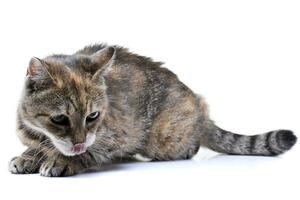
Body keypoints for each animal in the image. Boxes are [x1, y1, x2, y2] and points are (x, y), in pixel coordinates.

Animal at [8, 43, 296, 177]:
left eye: (92, 116)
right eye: (59, 119)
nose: (78, 142)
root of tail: (201, 110)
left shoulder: (113, 137)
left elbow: (87, 153)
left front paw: (61, 161)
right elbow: (38, 147)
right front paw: (28, 157)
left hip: (164, 140)